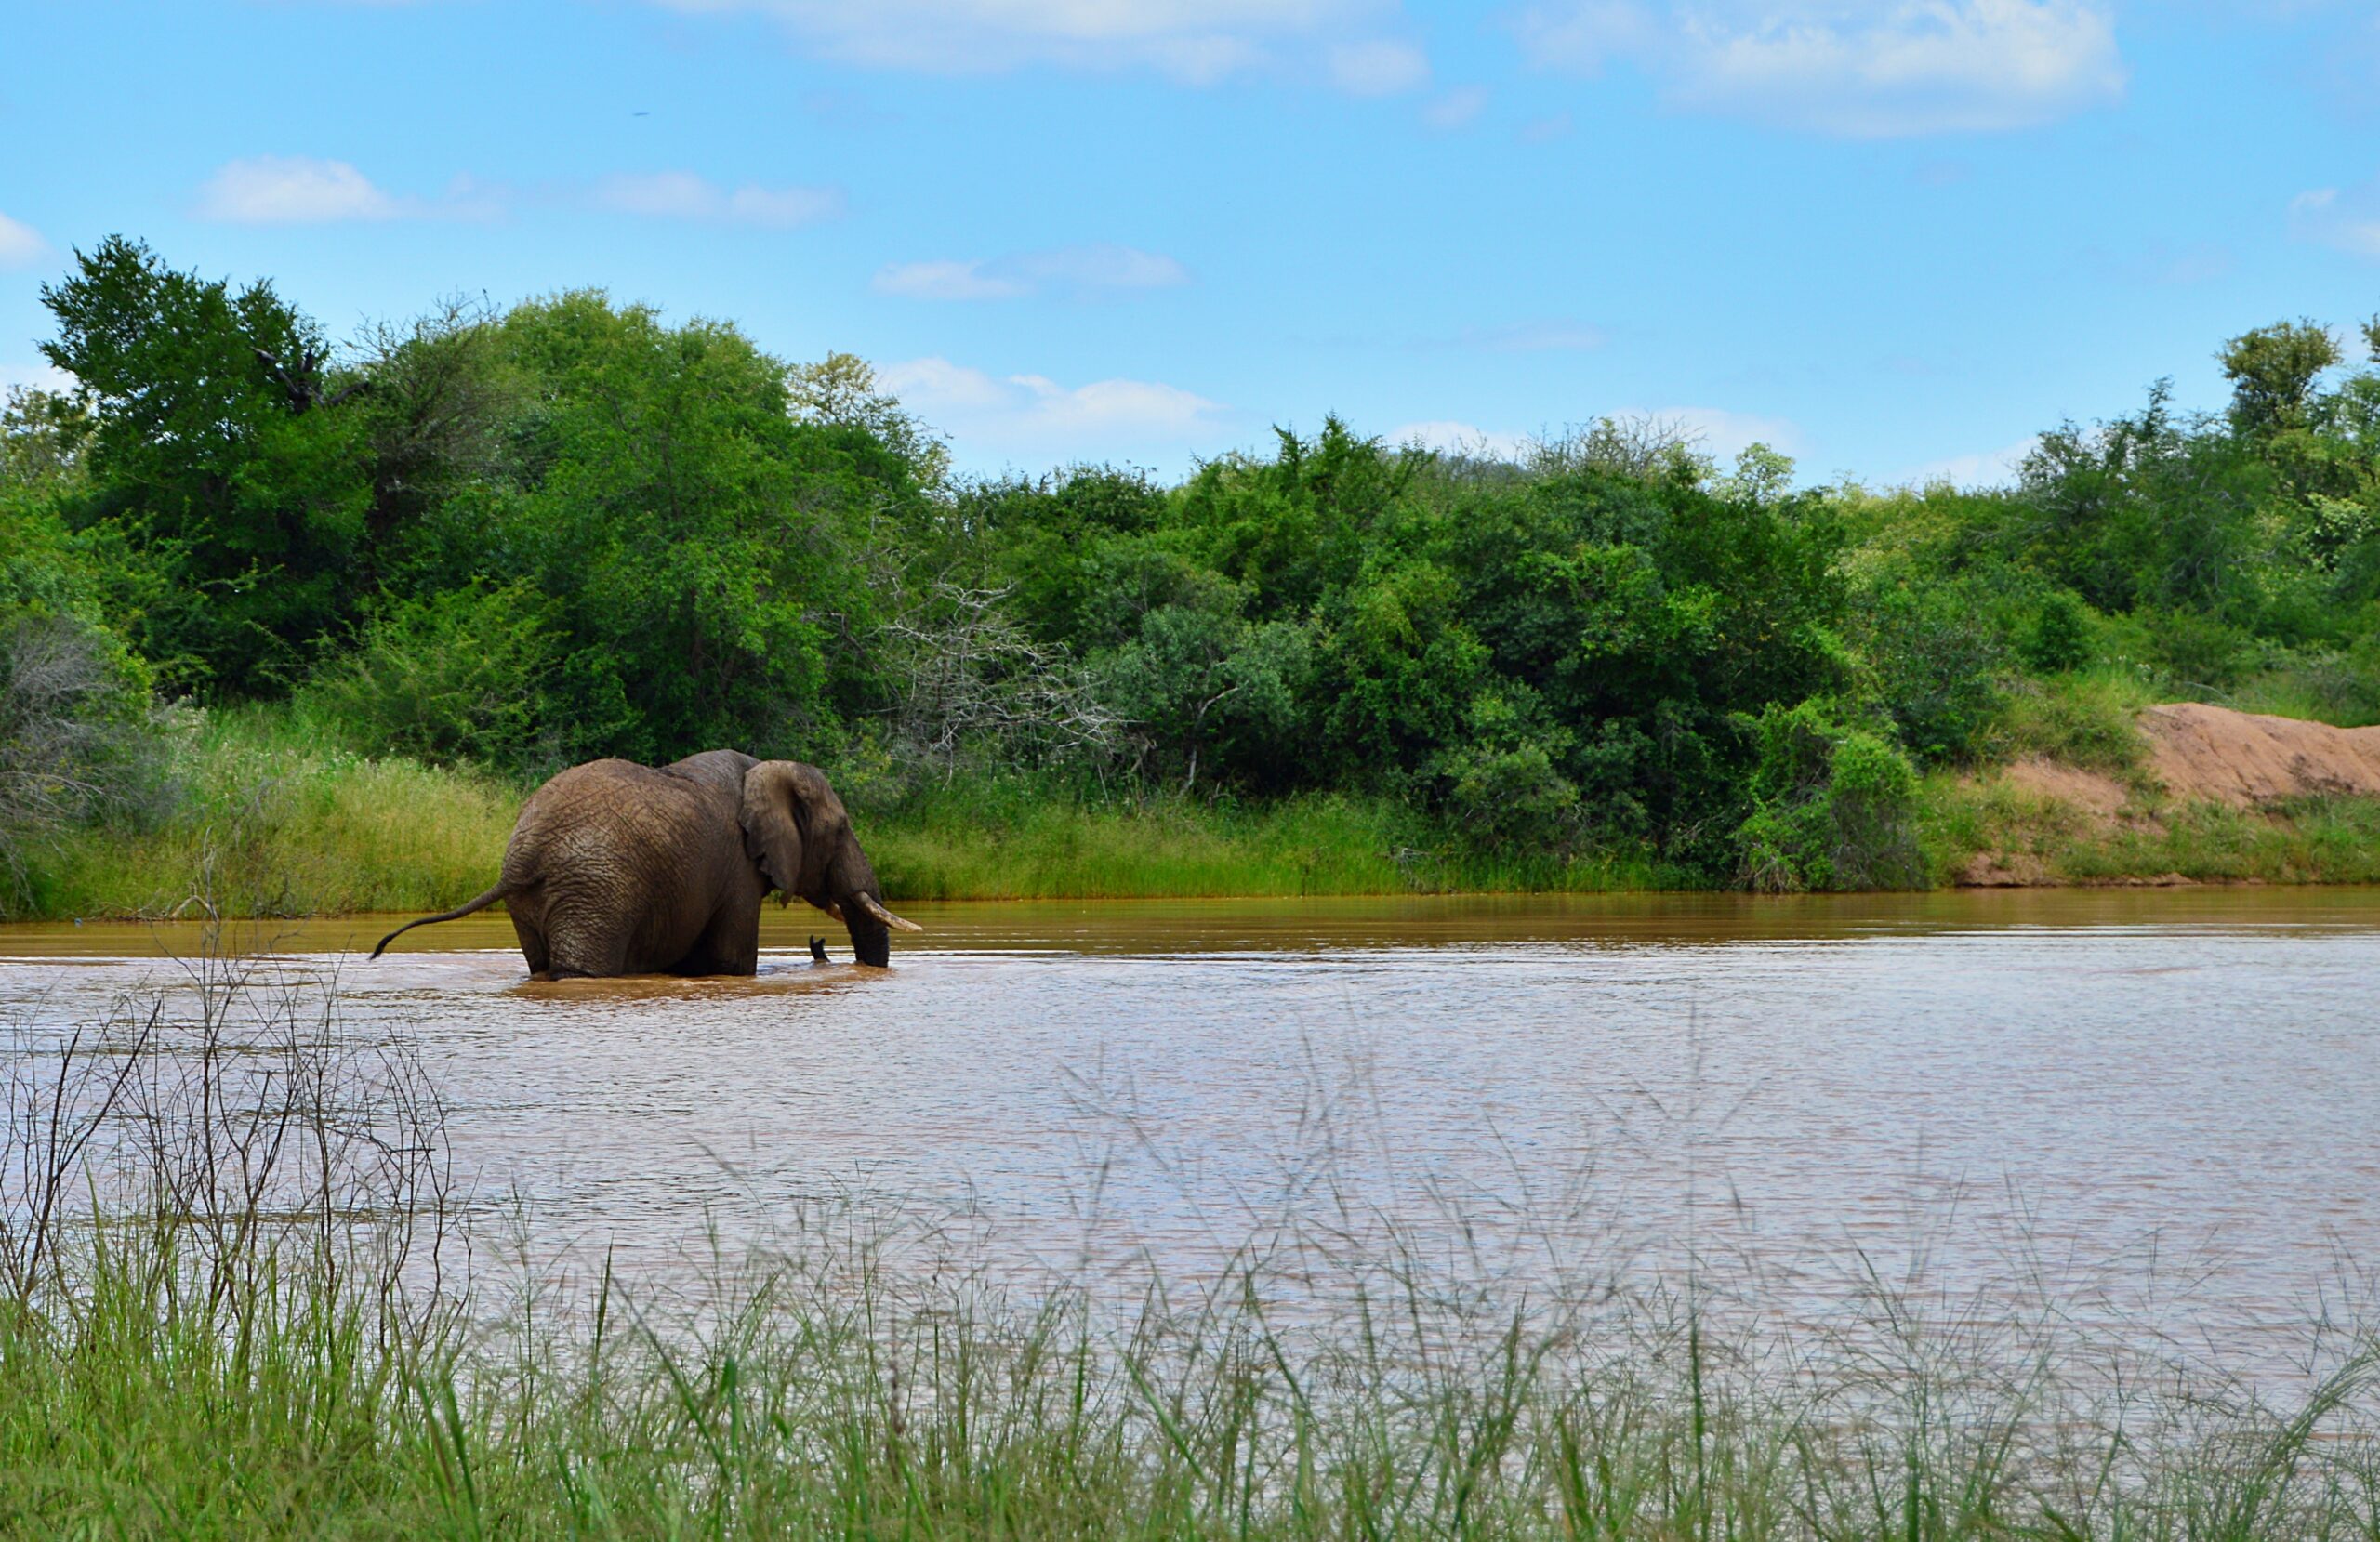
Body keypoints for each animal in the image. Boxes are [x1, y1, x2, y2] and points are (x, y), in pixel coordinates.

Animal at [366, 752, 914, 975]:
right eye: (840, 829)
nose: (819, 945)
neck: (764, 768)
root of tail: (523, 856)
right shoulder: (737, 871)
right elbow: (730, 963)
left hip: (537, 901)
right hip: (597, 890)